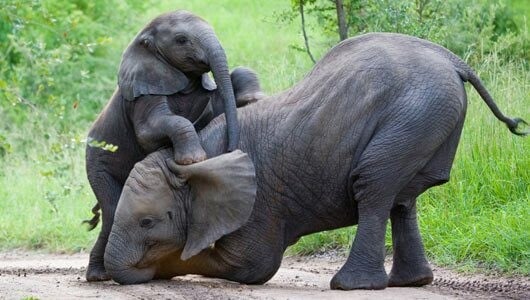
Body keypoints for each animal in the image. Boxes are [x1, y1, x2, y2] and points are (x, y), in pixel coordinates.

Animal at [84, 9, 264, 282]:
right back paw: (98, 276)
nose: (232, 148)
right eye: (181, 40)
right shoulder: (143, 93)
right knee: (112, 209)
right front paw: (193, 160)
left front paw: (254, 99)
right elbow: (151, 132)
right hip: (96, 164)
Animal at [101, 33, 520, 290]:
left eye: (148, 222)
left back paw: (351, 285)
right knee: (403, 199)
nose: (128, 271)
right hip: (427, 117)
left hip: (414, 113)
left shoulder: (257, 204)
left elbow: (251, 265)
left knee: (373, 185)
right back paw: (410, 283)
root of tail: (452, 59)